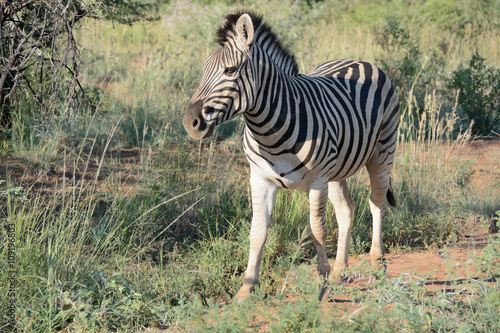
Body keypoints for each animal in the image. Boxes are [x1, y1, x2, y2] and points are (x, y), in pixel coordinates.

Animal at [182, 11, 400, 300]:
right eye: (204, 71)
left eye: (230, 70)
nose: (190, 122)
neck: (269, 132)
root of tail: (358, 60)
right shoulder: (260, 179)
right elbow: (257, 231)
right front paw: (247, 287)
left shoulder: (317, 181)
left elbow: (317, 230)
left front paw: (321, 285)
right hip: (338, 169)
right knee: (346, 210)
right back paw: (340, 270)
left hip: (382, 152)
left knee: (377, 203)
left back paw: (377, 263)